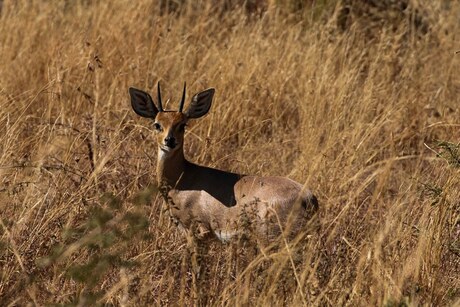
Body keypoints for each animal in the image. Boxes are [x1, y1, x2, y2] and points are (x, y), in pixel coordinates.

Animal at [127, 83, 318, 244]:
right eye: (157, 124)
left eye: (183, 125)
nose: (169, 141)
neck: (182, 180)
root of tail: (308, 197)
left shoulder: (198, 232)